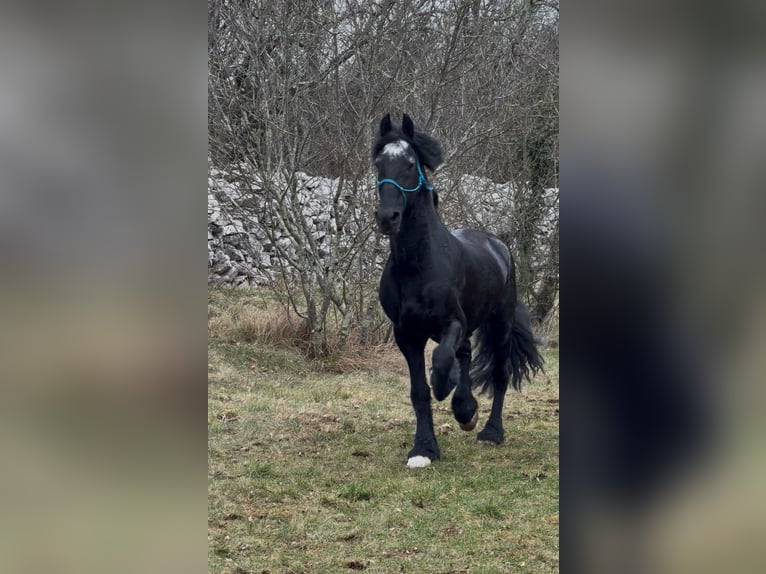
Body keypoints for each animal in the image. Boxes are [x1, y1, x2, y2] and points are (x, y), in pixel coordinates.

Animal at [373, 113, 544, 468]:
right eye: (379, 163)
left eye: (410, 163)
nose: (387, 217)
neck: (418, 265)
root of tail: (497, 245)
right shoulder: (405, 334)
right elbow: (419, 392)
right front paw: (423, 449)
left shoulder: (451, 322)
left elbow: (440, 361)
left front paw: (446, 389)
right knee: (464, 355)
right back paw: (465, 410)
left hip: (500, 325)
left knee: (499, 374)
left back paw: (490, 431)